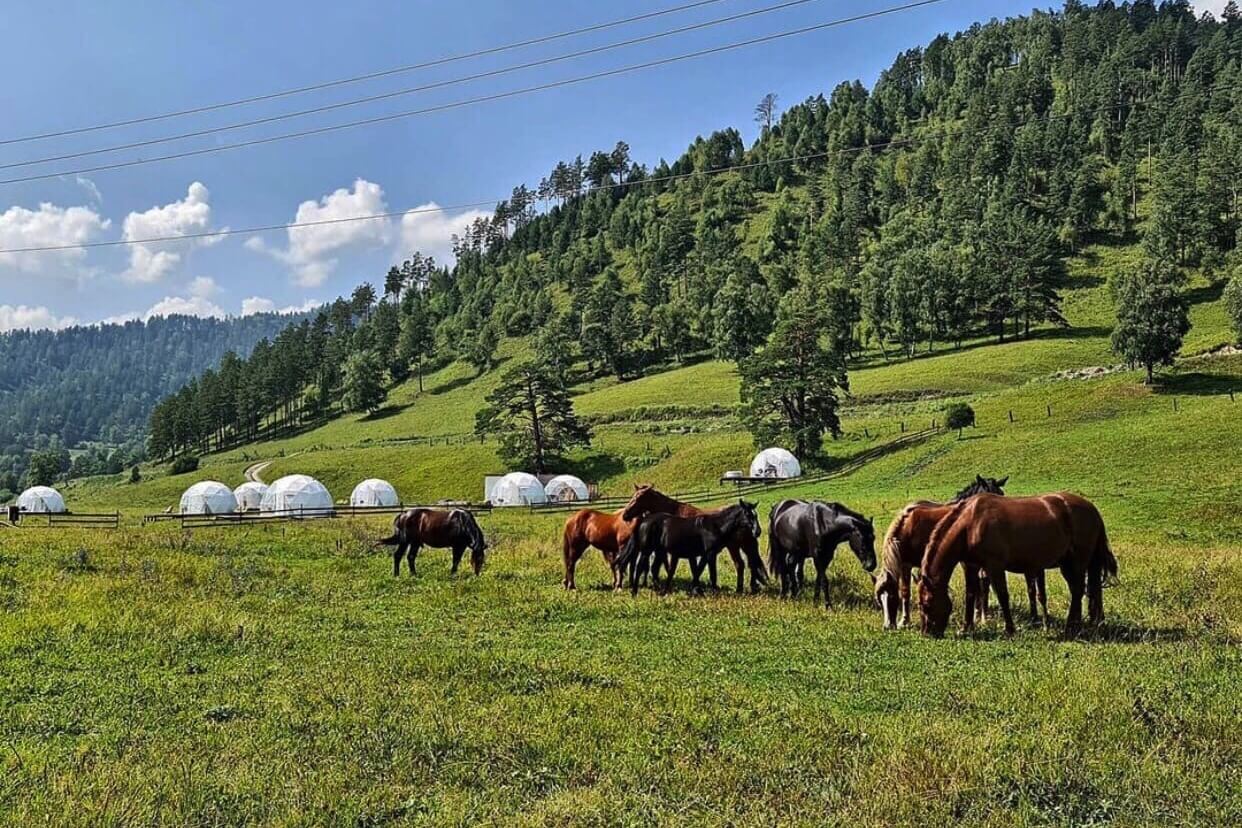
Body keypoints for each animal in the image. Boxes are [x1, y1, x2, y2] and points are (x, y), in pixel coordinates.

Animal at [618, 486, 765, 595]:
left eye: (638, 498)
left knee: (741, 564)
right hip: (742, 546)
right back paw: (749, 588)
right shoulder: (686, 553)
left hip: (735, 546)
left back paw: (742, 589)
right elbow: (691, 569)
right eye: (633, 496)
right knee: (748, 564)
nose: (625, 515)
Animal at [919, 496, 1122, 640]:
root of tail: (1093, 510)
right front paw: (966, 628)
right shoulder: (971, 566)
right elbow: (970, 595)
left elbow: (1003, 596)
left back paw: (1071, 627)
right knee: (1086, 591)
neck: (971, 523)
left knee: (1078, 590)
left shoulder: (995, 566)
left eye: (926, 604)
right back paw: (1083, 624)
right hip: (1073, 564)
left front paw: (1010, 629)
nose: (928, 633)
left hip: (1077, 563)